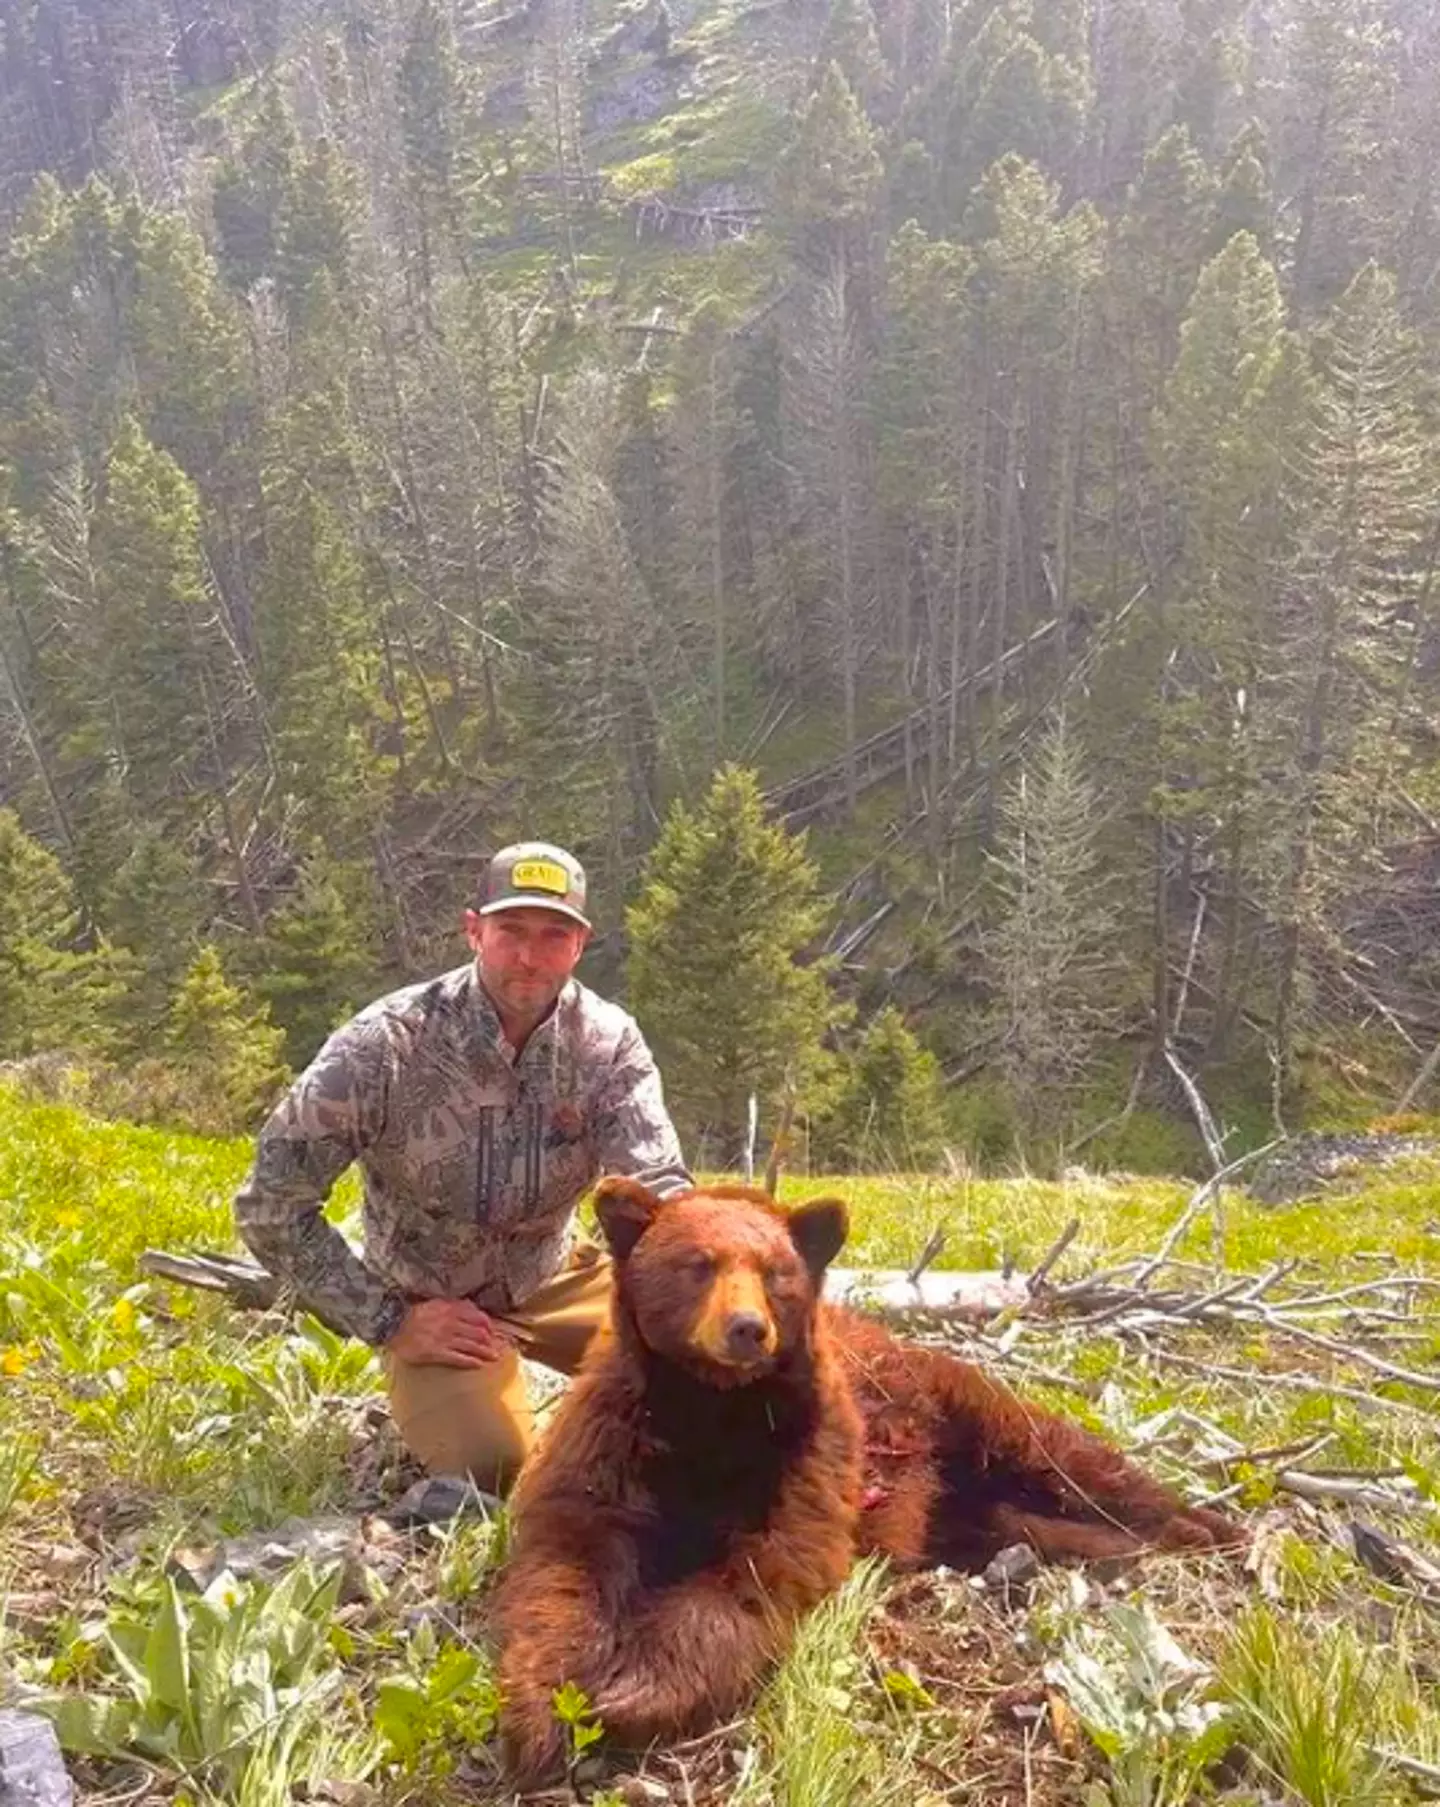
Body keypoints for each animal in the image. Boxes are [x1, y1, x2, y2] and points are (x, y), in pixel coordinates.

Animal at [494, 1180, 1236, 1784]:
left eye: (775, 1273)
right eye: (698, 1264)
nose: (747, 1329)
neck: (712, 1413)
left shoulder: (806, 1454)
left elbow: (765, 1569)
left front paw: (633, 1690)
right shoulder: (615, 1440)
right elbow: (568, 1556)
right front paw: (541, 1711)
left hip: (966, 1412)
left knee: (1072, 1459)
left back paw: (1206, 1526)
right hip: (964, 1505)